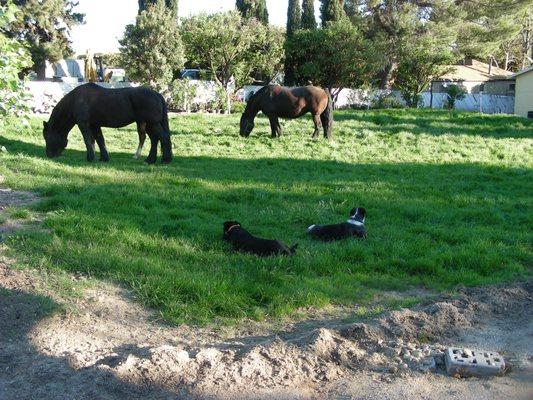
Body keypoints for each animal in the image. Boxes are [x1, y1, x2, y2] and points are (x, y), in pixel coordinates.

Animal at [44, 83, 172, 164]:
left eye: (47, 137)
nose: (49, 155)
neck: (76, 100)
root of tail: (157, 95)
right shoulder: (94, 125)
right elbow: (100, 140)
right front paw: (103, 158)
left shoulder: (83, 124)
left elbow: (88, 140)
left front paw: (90, 158)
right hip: (149, 124)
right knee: (155, 140)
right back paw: (150, 160)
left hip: (152, 123)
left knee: (163, 138)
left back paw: (165, 160)